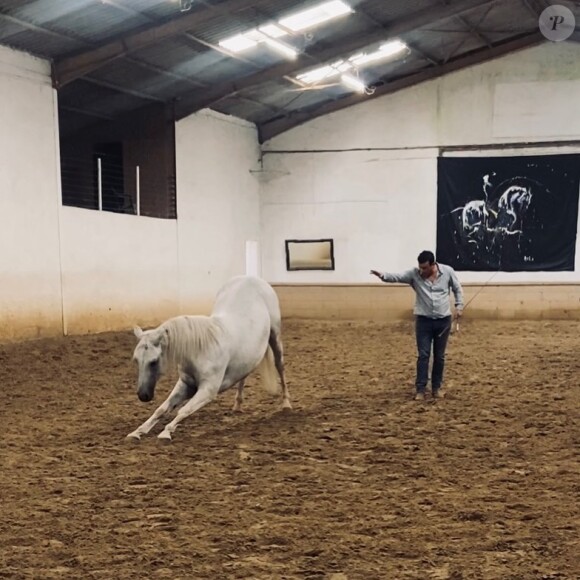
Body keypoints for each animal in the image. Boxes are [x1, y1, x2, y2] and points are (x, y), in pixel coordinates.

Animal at [125, 274, 292, 442]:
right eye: (136, 360)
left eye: (153, 362)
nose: (143, 395)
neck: (201, 350)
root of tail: (252, 278)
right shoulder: (186, 384)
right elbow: (162, 409)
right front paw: (137, 432)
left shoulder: (208, 390)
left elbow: (183, 410)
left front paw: (166, 432)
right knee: (244, 375)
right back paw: (237, 405)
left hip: (275, 337)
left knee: (280, 366)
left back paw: (286, 404)